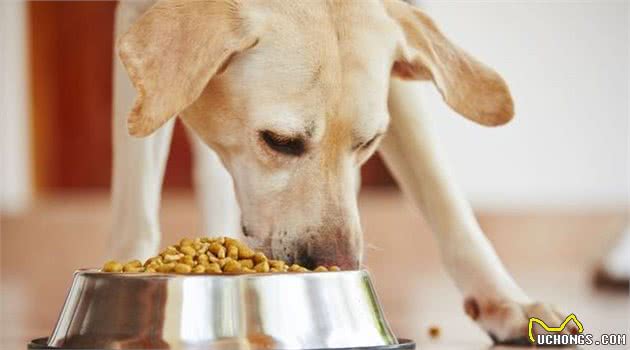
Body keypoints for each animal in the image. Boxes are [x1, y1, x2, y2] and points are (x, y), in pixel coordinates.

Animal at [111, 0, 576, 344]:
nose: (341, 265)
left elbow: (444, 195)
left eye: (368, 143)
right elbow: (137, 202)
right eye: (279, 141)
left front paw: (505, 300)